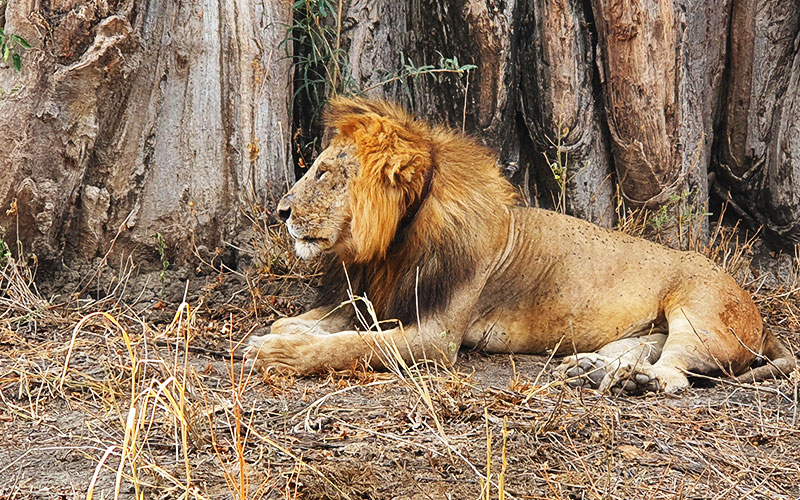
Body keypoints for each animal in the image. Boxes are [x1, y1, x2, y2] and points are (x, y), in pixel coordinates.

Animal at [247, 97, 796, 394]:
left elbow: (353, 345)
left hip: (698, 313)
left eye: (325, 172)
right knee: (645, 348)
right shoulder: (376, 297)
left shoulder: (437, 337)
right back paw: (595, 368)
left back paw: (637, 381)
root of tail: (758, 311)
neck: (392, 246)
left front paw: (280, 354)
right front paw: (276, 333)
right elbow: (322, 323)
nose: (281, 211)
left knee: (677, 372)